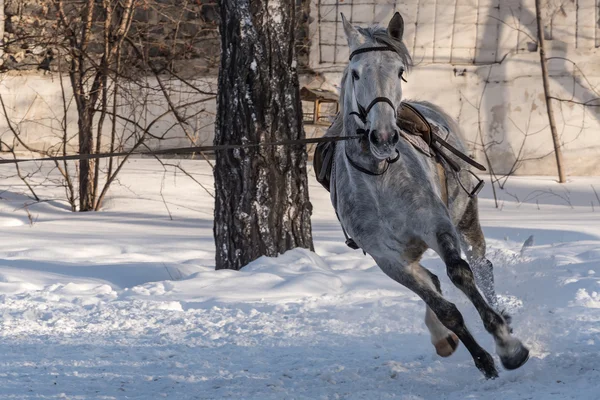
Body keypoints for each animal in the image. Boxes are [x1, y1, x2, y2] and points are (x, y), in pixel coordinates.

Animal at [328, 12, 528, 380]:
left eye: (399, 71)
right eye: (356, 72)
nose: (383, 136)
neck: (380, 180)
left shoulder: (437, 226)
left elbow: (460, 273)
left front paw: (508, 345)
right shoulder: (388, 259)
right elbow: (445, 308)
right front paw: (484, 359)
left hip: (465, 217)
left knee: (481, 267)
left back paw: (501, 316)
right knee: (434, 283)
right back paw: (443, 338)